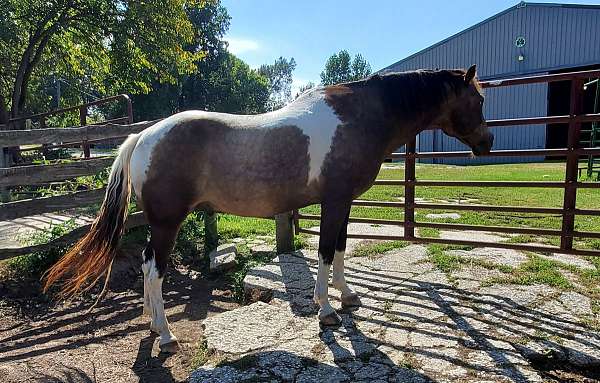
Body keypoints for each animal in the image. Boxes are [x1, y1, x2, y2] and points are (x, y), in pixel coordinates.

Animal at [42, 65, 492, 354]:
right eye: (478, 97)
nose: (487, 143)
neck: (359, 117)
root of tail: (143, 136)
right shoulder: (334, 201)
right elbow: (324, 251)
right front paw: (326, 309)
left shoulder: (344, 202)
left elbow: (341, 248)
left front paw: (347, 296)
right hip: (168, 223)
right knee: (155, 269)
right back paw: (166, 336)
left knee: (149, 265)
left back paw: (153, 322)